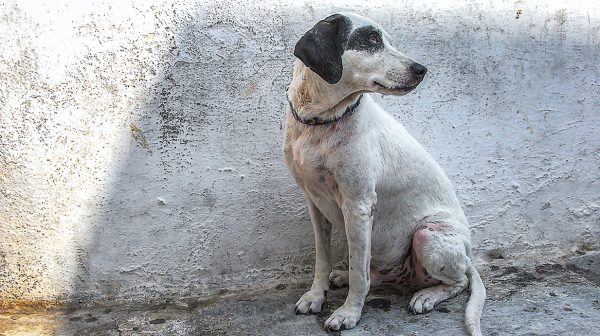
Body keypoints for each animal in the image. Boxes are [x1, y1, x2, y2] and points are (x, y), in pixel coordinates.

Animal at [284, 13, 486, 336]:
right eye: (371, 39)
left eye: (387, 40)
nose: (421, 69)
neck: (322, 121)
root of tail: (468, 255)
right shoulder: (314, 203)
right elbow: (322, 259)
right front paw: (316, 296)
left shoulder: (358, 206)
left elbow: (359, 275)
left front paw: (348, 314)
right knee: (372, 273)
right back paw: (345, 276)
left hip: (428, 235)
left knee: (459, 282)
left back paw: (427, 296)